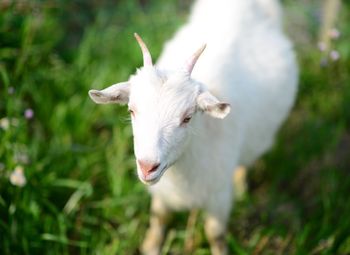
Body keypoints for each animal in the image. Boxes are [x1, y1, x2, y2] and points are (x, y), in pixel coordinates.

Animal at [89, 0, 296, 254]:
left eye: (187, 117)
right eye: (131, 110)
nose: (147, 167)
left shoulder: (218, 193)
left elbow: (215, 233)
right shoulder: (164, 190)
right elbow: (159, 217)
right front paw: (151, 246)